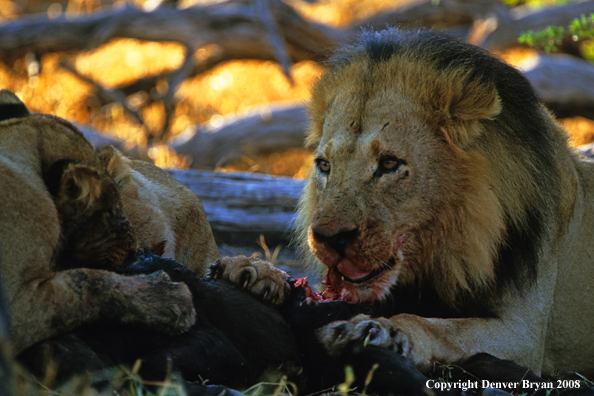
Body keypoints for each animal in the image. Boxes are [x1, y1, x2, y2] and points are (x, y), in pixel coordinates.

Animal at [215, 28, 592, 378]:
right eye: (324, 165)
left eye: (389, 163)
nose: (327, 238)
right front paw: (257, 272)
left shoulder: (526, 334)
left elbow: (442, 328)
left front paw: (383, 329)